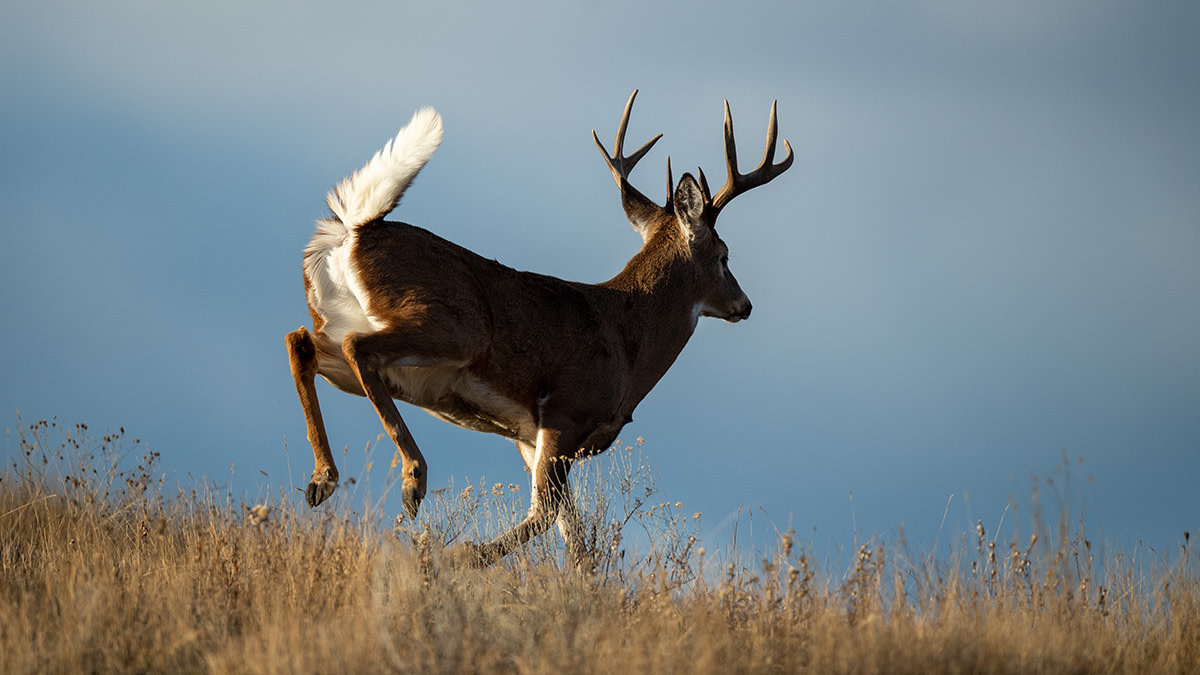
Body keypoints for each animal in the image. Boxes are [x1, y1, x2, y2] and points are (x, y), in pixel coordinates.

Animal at [285, 90, 792, 566]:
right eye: (724, 255)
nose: (744, 305)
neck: (626, 337)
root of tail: (356, 229)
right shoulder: (565, 413)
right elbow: (546, 516)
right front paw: (457, 556)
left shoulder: (530, 437)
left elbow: (575, 539)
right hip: (453, 327)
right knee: (358, 347)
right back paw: (412, 479)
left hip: (350, 337)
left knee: (302, 343)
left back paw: (321, 480)